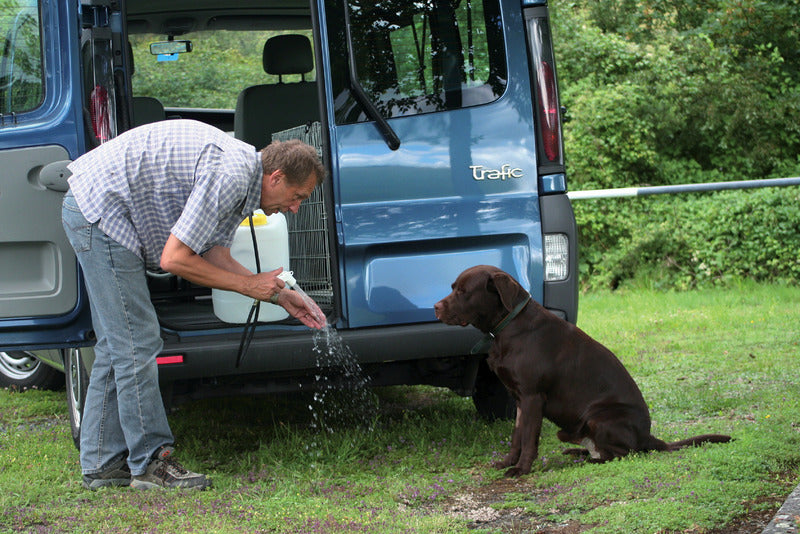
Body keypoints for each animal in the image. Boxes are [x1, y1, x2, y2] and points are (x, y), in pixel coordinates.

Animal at [434, 266, 728, 480]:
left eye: (463, 291)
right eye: (453, 288)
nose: (435, 307)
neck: (510, 325)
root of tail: (648, 437)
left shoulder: (532, 397)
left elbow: (528, 439)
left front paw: (521, 469)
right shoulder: (519, 400)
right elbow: (516, 437)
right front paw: (507, 462)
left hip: (599, 417)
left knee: (623, 454)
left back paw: (586, 462)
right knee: (601, 451)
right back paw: (577, 454)